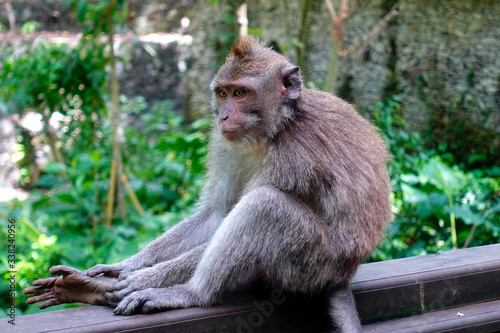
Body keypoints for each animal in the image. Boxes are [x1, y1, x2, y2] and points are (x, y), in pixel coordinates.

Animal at [24, 35, 390, 330]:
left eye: (241, 93)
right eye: (224, 93)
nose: (224, 115)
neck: (279, 126)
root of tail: (343, 275)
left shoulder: (297, 158)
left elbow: (247, 210)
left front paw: (140, 278)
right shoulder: (224, 143)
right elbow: (216, 213)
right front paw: (123, 266)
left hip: (313, 264)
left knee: (265, 206)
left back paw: (189, 292)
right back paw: (88, 289)